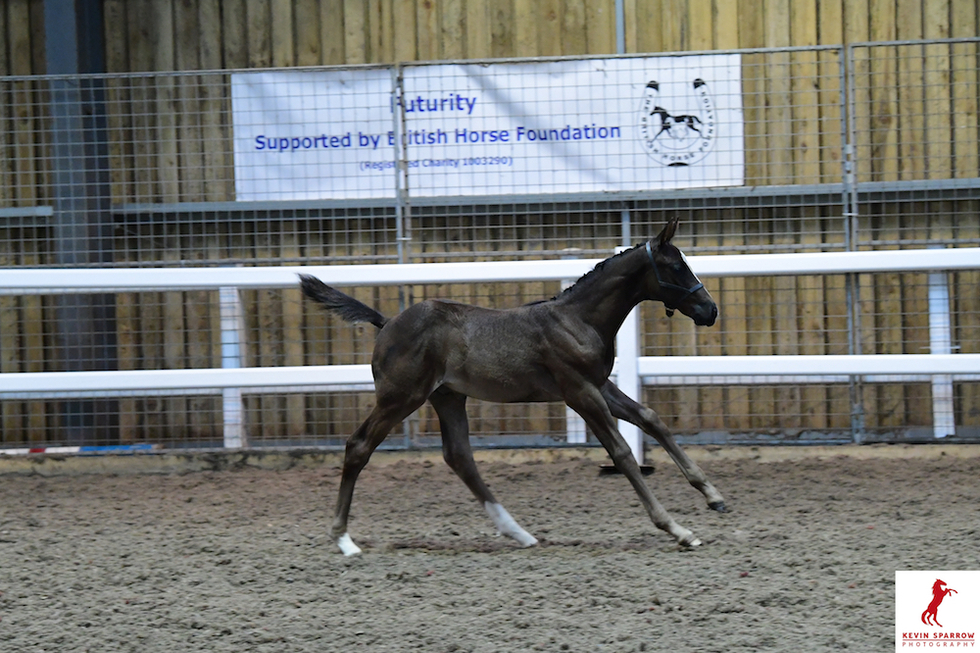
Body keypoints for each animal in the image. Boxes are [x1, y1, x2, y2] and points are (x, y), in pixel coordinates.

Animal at [300, 218, 726, 556]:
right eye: (675, 266)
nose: (710, 310)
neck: (579, 320)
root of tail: (387, 323)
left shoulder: (599, 386)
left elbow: (651, 418)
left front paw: (713, 496)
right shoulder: (579, 392)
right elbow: (621, 453)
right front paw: (677, 529)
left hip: (447, 396)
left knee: (459, 457)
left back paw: (519, 533)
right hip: (400, 397)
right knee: (359, 446)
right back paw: (343, 539)